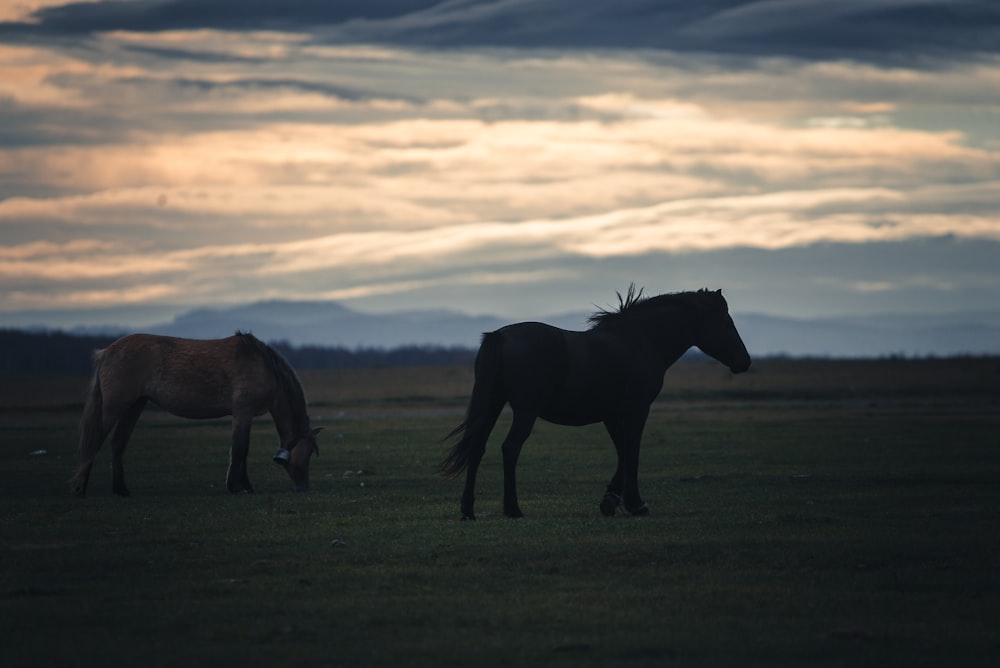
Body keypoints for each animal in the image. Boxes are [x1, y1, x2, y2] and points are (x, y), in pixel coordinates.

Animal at [71, 332, 320, 496]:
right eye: (308, 452)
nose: (303, 486)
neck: (265, 368)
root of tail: (107, 352)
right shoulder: (243, 413)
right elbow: (240, 449)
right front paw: (236, 486)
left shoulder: (244, 416)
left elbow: (242, 451)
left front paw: (244, 484)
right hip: (114, 407)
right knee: (95, 439)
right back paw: (81, 486)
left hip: (135, 405)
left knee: (118, 443)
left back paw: (121, 488)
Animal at [440, 288, 752, 520]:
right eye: (726, 322)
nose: (745, 361)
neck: (639, 341)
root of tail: (500, 336)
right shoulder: (637, 409)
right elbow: (633, 452)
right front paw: (635, 503)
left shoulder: (612, 415)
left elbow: (623, 452)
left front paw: (612, 500)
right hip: (525, 412)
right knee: (510, 448)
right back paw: (513, 509)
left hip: (492, 404)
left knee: (477, 448)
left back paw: (468, 510)